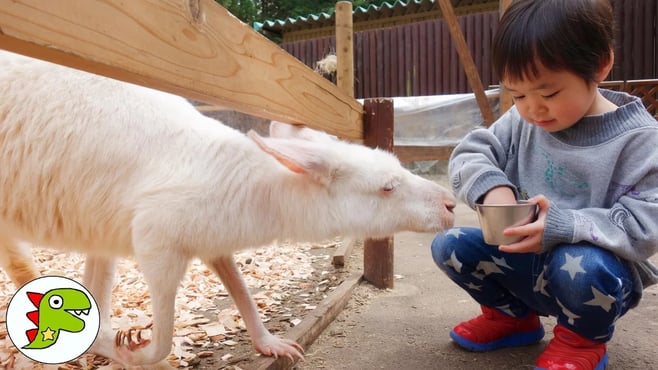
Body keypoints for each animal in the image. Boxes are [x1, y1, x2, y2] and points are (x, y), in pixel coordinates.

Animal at [0, 51, 454, 368]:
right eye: (388, 187)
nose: (451, 204)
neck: (256, 192)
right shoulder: (156, 236)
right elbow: (164, 336)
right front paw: (134, 351)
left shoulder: (211, 236)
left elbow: (239, 286)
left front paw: (270, 343)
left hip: (99, 226)